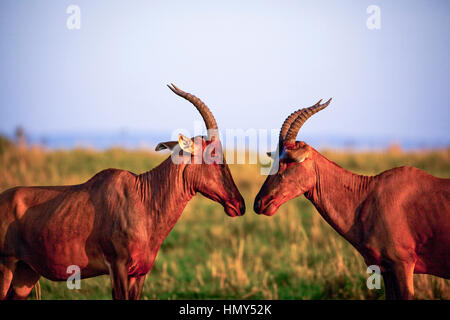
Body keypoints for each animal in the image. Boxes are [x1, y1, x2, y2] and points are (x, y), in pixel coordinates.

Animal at [0, 84, 244, 298]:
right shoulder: (117, 267)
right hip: (6, 267)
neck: (143, 197)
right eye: (213, 155)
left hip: (26, 273)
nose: (239, 204)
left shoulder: (140, 273)